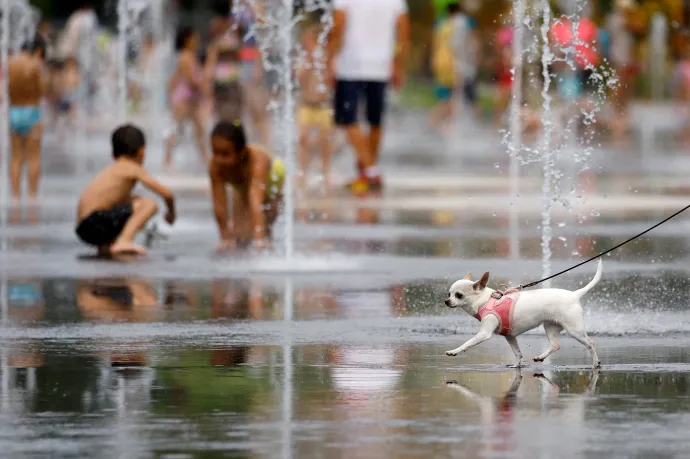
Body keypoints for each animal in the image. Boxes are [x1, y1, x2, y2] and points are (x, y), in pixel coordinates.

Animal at [444, 260, 600, 368]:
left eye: (459, 295)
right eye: (449, 294)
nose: (446, 301)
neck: (486, 301)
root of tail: (574, 295)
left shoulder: (484, 334)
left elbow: (467, 343)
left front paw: (454, 351)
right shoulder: (510, 336)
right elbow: (518, 353)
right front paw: (516, 366)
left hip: (574, 329)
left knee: (590, 343)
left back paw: (595, 363)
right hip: (550, 327)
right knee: (555, 345)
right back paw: (540, 357)